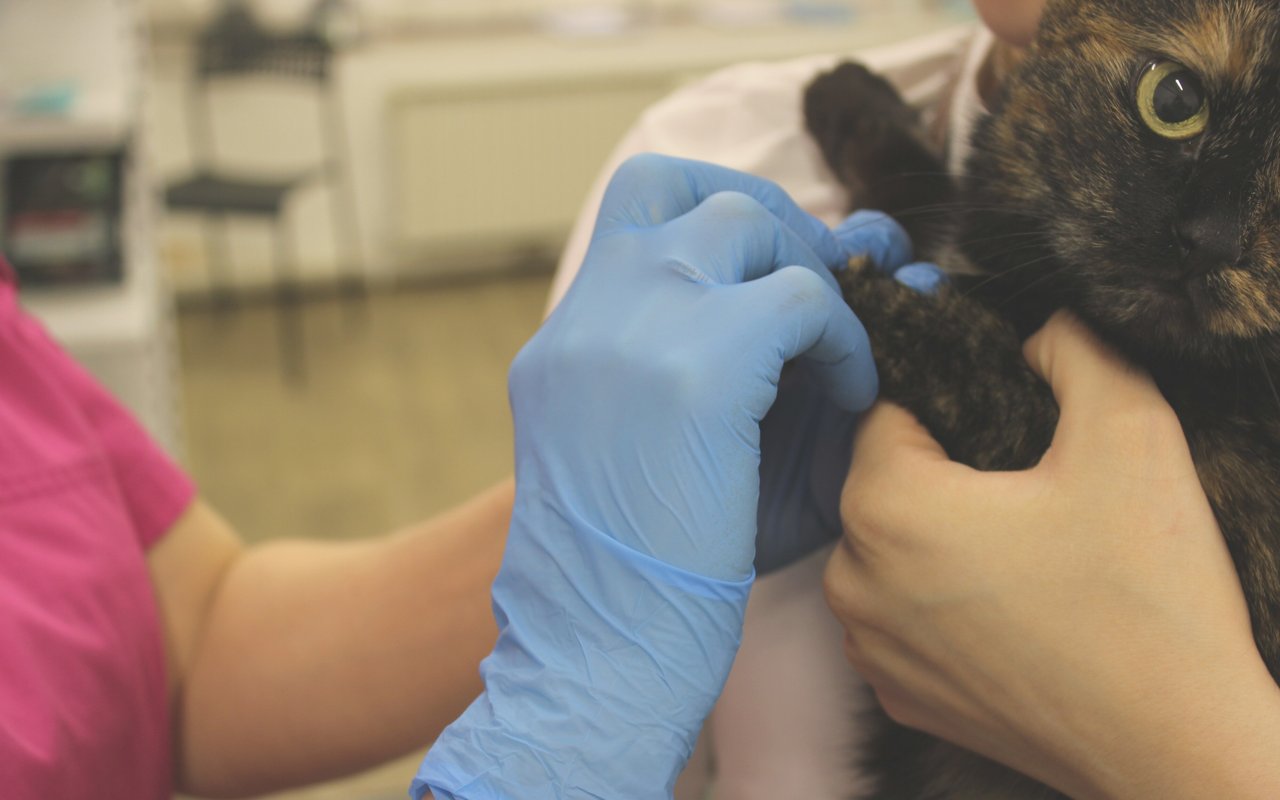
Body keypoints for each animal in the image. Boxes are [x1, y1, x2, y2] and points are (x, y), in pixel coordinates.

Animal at [803, 0, 1280, 797]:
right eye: (1173, 98)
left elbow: (967, 355)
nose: (1206, 240)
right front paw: (845, 94)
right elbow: (919, 202)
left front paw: (838, 293)